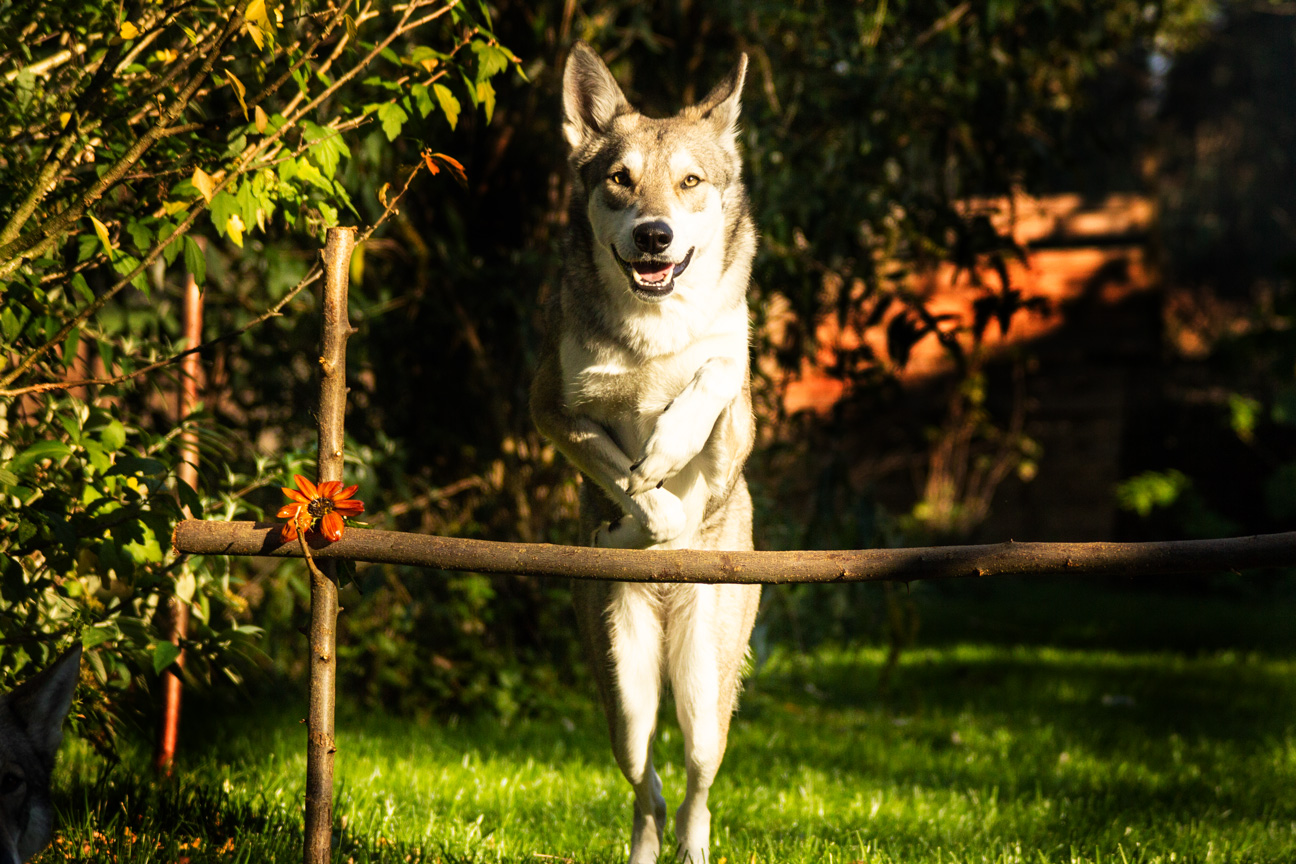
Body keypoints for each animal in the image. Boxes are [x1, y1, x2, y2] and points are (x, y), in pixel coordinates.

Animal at [531, 41, 761, 864]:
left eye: (690, 182)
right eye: (619, 180)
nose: (655, 235)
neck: (654, 327)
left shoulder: (738, 422)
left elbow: (714, 372)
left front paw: (669, 448)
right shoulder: (552, 408)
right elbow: (630, 485)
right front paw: (638, 516)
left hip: (704, 693)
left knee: (696, 783)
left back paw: (694, 846)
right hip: (624, 697)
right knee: (646, 785)